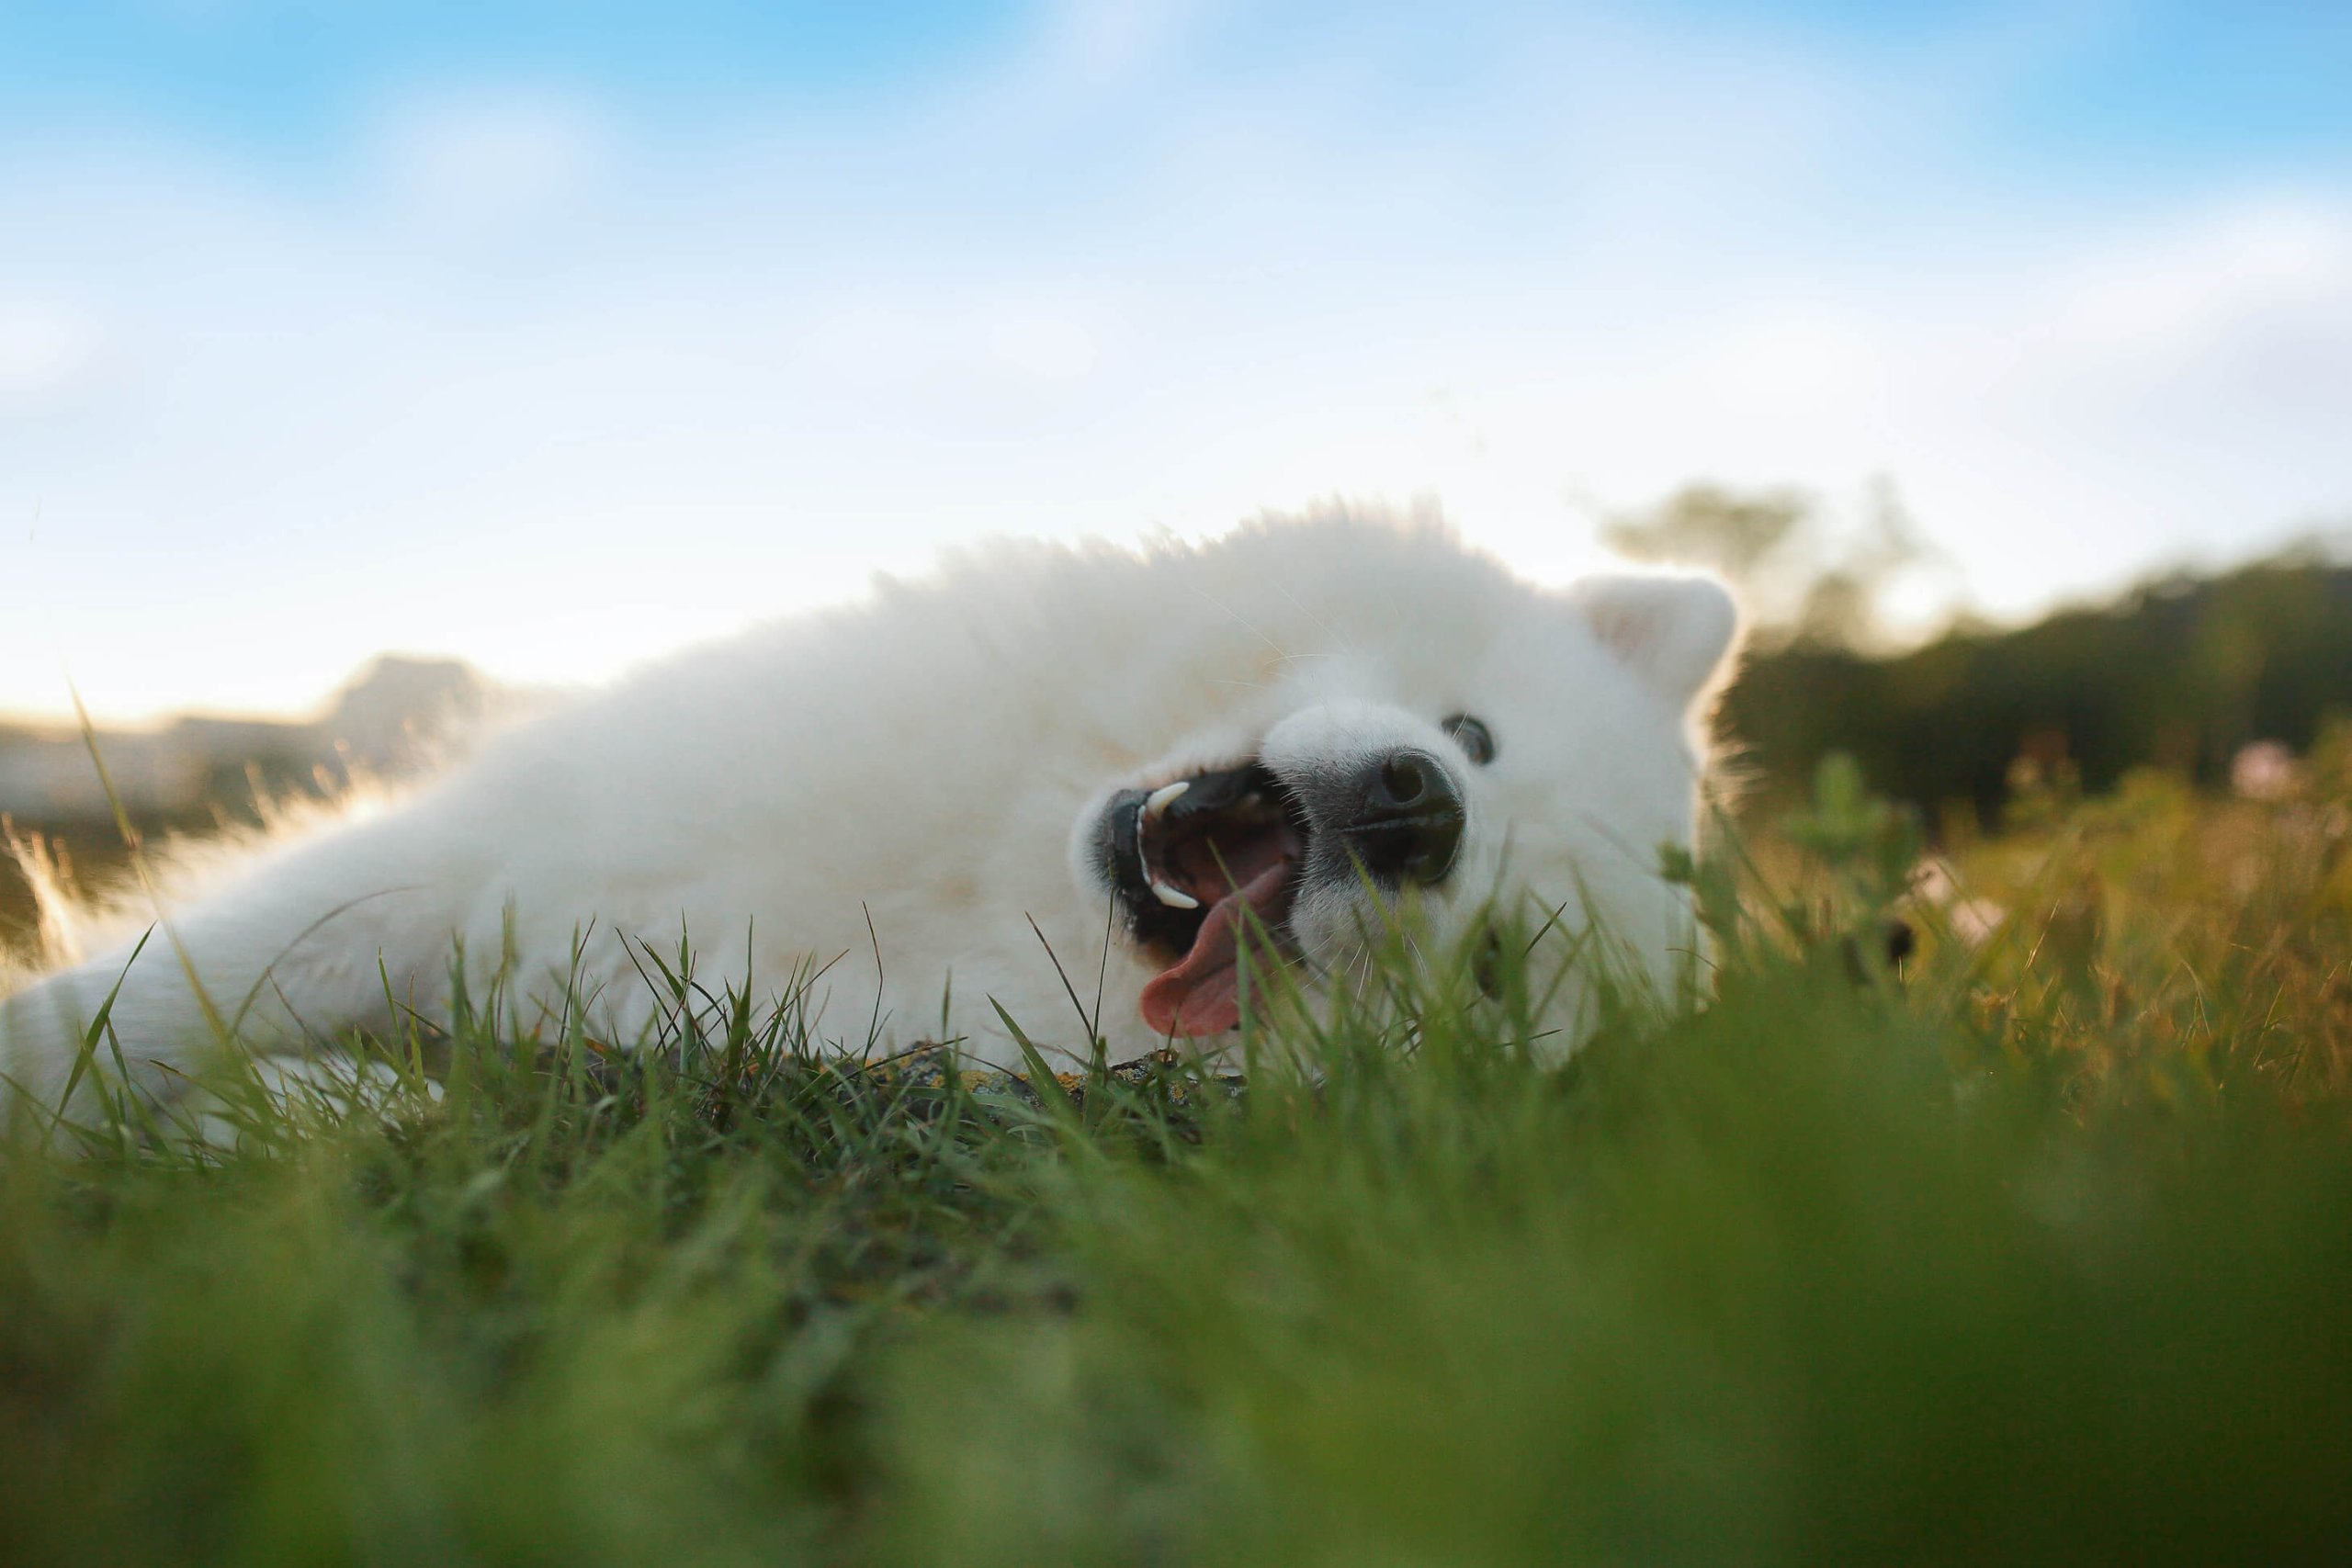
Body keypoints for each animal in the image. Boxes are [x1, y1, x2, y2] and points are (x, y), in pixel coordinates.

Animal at [0, 512, 1731, 1114]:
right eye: (1475, 736)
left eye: (1494, 964)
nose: (1413, 811)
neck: (977, 883)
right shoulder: (462, 855)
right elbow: (157, 994)